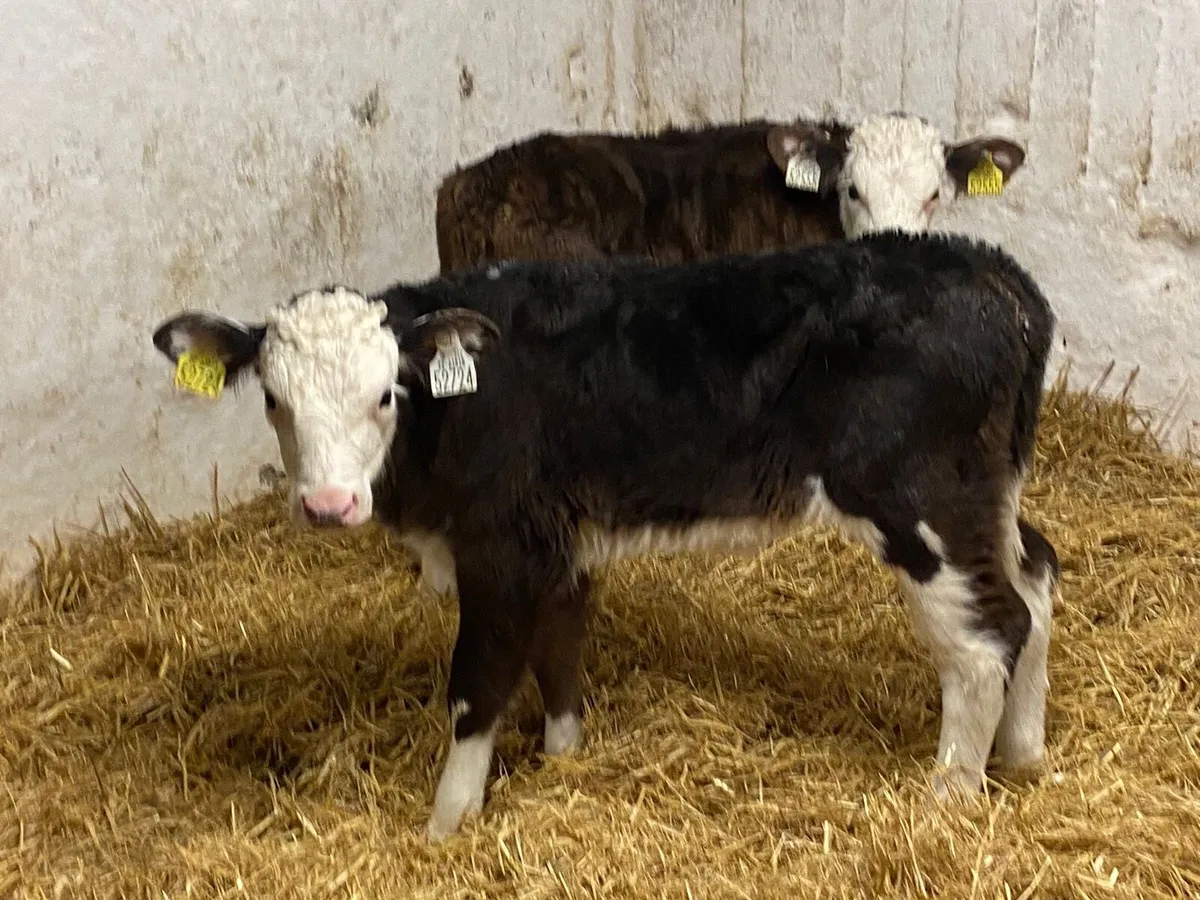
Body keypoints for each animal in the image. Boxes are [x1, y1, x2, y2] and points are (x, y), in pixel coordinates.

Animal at [152, 229, 1059, 841]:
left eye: (385, 395)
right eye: (274, 400)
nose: (330, 503)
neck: (461, 404)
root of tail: (993, 271)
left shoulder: (501, 547)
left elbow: (478, 685)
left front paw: (446, 824)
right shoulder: (559, 544)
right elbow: (560, 652)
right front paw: (565, 760)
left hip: (921, 503)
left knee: (984, 639)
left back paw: (949, 795)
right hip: (988, 493)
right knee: (1036, 581)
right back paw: (1023, 751)